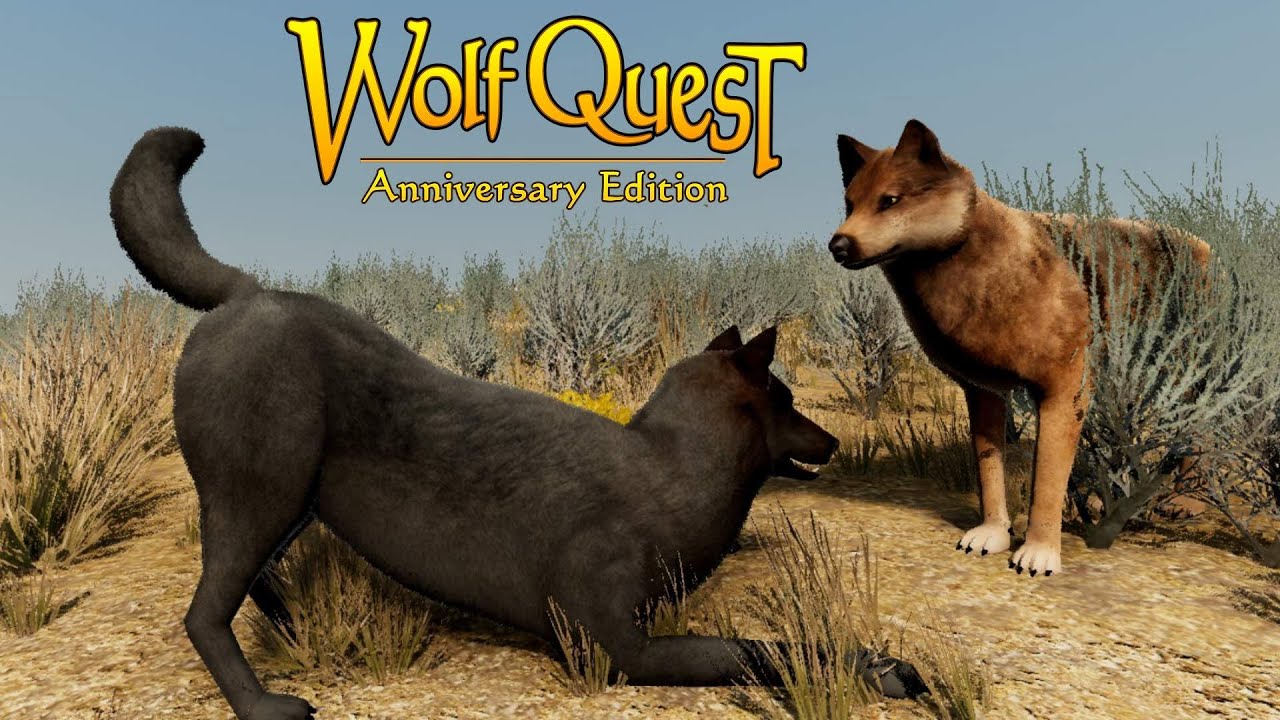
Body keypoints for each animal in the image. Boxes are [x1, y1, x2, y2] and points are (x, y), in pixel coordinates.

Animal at [109, 128, 924, 720]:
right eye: (784, 399)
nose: (834, 440)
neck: (672, 465)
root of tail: (246, 292)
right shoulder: (617, 648)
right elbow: (761, 649)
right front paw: (883, 669)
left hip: (291, 500)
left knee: (258, 582)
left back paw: (294, 630)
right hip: (259, 492)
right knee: (205, 612)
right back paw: (264, 704)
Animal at [828, 119, 1211, 578]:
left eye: (890, 200)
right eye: (849, 205)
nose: (838, 245)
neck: (982, 268)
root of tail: (1207, 248)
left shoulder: (1064, 390)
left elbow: (1046, 480)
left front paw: (1040, 552)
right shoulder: (984, 391)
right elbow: (988, 469)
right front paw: (992, 533)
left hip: (1188, 377)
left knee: (1198, 438)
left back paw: (1185, 503)